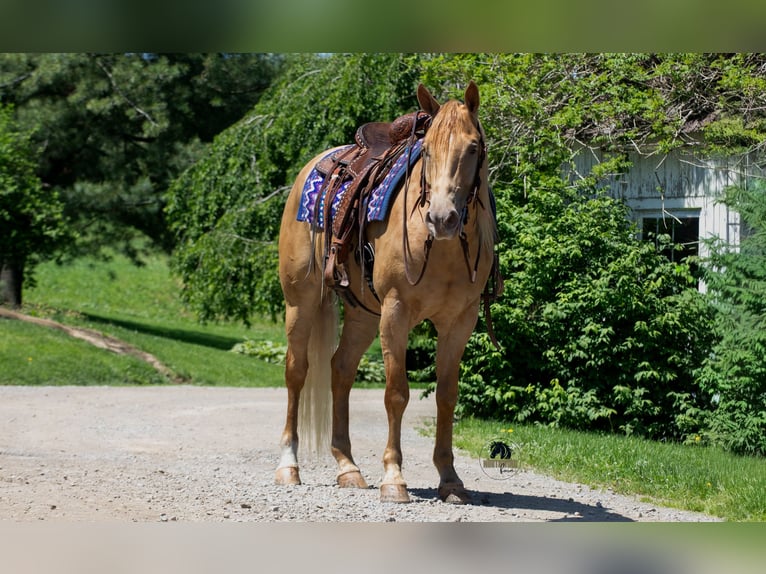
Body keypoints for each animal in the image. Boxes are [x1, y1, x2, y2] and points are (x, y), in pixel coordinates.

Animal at [275, 81, 497, 504]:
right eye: (427, 151)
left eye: (473, 148)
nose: (442, 218)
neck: (438, 245)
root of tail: (315, 164)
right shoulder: (396, 312)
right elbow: (396, 392)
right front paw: (394, 477)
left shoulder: (460, 321)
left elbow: (447, 396)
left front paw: (450, 479)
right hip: (301, 301)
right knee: (296, 372)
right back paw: (288, 466)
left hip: (363, 313)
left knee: (340, 369)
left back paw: (348, 467)